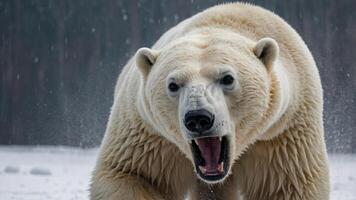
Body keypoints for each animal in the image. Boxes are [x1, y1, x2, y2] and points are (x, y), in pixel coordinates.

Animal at [90, 1, 330, 200]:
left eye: (228, 78)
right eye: (173, 84)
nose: (198, 118)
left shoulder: (280, 133)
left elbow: (288, 185)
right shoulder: (151, 134)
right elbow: (134, 176)